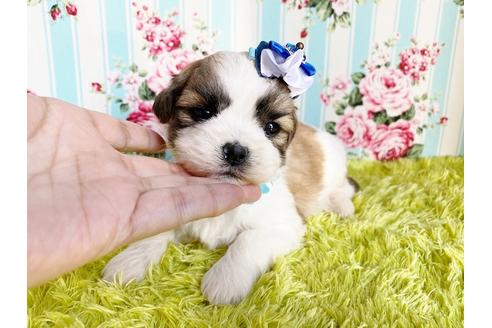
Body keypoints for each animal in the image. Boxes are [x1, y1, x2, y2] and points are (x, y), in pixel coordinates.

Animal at [103, 51, 358, 304]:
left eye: (271, 127)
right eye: (203, 112)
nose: (236, 151)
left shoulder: (283, 225)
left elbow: (248, 240)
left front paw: (225, 280)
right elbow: (158, 230)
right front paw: (129, 261)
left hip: (335, 164)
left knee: (344, 187)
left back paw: (342, 206)